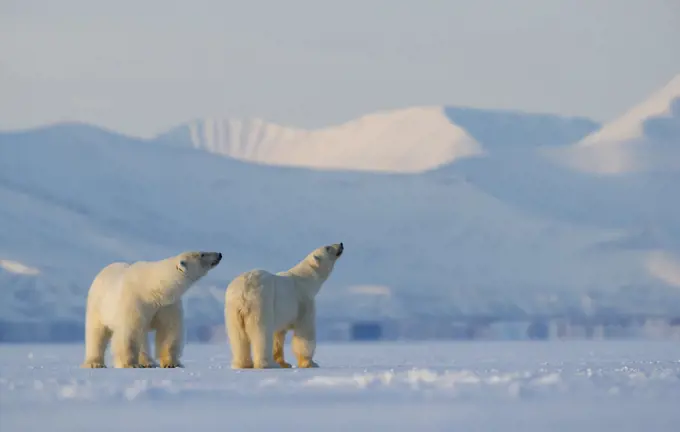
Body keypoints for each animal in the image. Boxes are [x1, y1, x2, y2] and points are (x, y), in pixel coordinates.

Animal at [81, 250, 222, 368]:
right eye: (202, 254)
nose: (219, 254)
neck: (151, 289)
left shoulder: (167, 305)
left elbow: (169, 331)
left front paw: (171, 363)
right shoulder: (133, 301)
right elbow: (128, 333)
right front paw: (130, 364)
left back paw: (148, 362)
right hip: (98, 305)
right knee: (97, 333)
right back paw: (94, 363)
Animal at [224, 241, 342, 370]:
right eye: (328, 247)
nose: (341, 244)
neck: (306, 279)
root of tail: (245, 289)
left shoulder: (282, 313)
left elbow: (278, 335)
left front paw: (284, 363)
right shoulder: (303, 301)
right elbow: (305, 332)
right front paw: (310, 363)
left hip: (232, 308)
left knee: (238, 336)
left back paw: (242, 364)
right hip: (261, 303)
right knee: (261, 333)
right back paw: (267, 364)